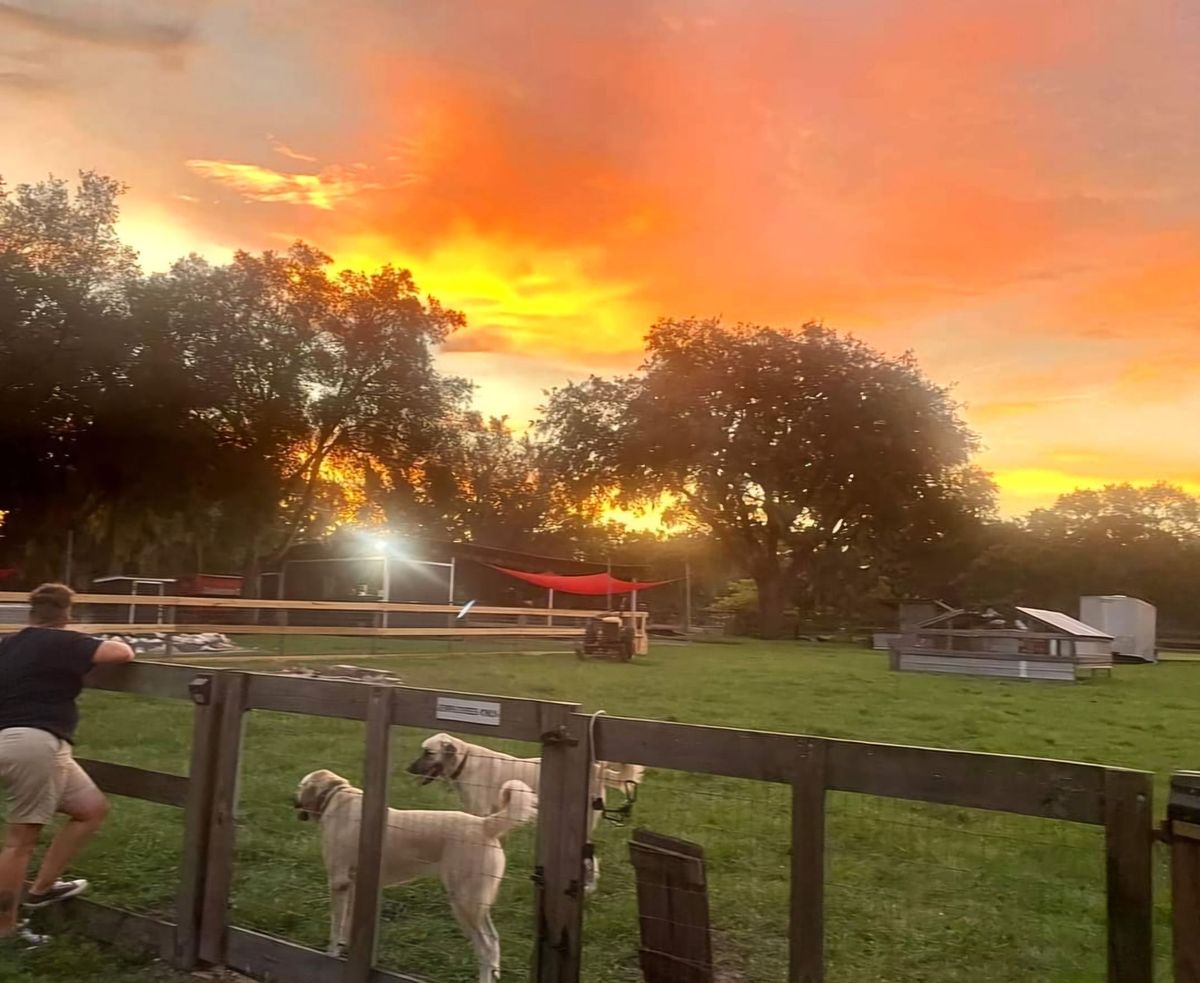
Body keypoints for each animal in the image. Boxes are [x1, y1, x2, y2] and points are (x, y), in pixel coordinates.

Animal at [292, 768, 537, 983]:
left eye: (300, 786)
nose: (292, 801)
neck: (335, 798)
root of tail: (485, 824)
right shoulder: (354, 885)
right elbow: (347, 923)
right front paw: (346, 947)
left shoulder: (339, 882)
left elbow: (336, 925)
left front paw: (332, 954)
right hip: (476, 904)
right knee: (494, 942)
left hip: (463, 904)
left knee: (485, 948)